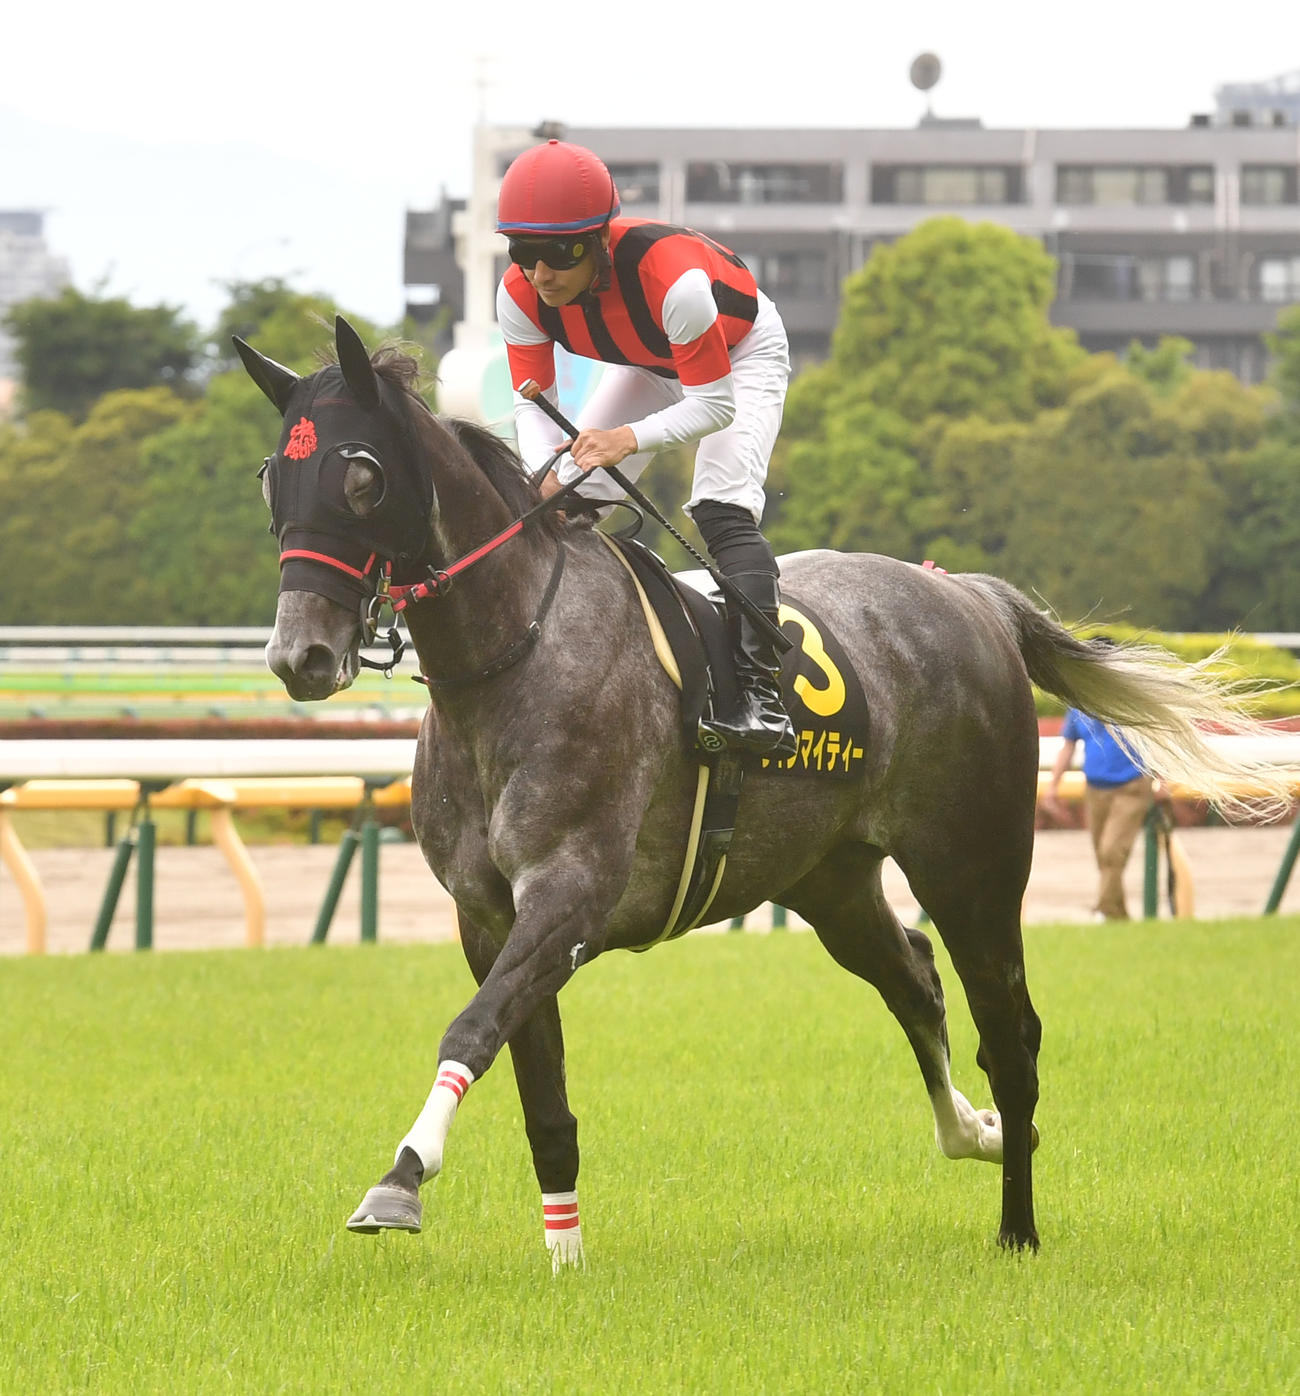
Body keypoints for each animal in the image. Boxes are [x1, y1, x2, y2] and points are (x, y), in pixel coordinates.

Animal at [237, 316, 1292, 1265]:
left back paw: (1018, 1223)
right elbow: (537, 1087)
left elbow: (471, 1027)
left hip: (973, 866)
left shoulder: (569, 893)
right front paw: (564, 1256)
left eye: (360, 475)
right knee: (912, 978)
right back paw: (975, 1131)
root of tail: (969, 595)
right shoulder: (486, 915)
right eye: (272, 476)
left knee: (1011, 1031)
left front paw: (399, 1182)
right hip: (830, 878)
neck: (513, 658)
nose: (300, 656)